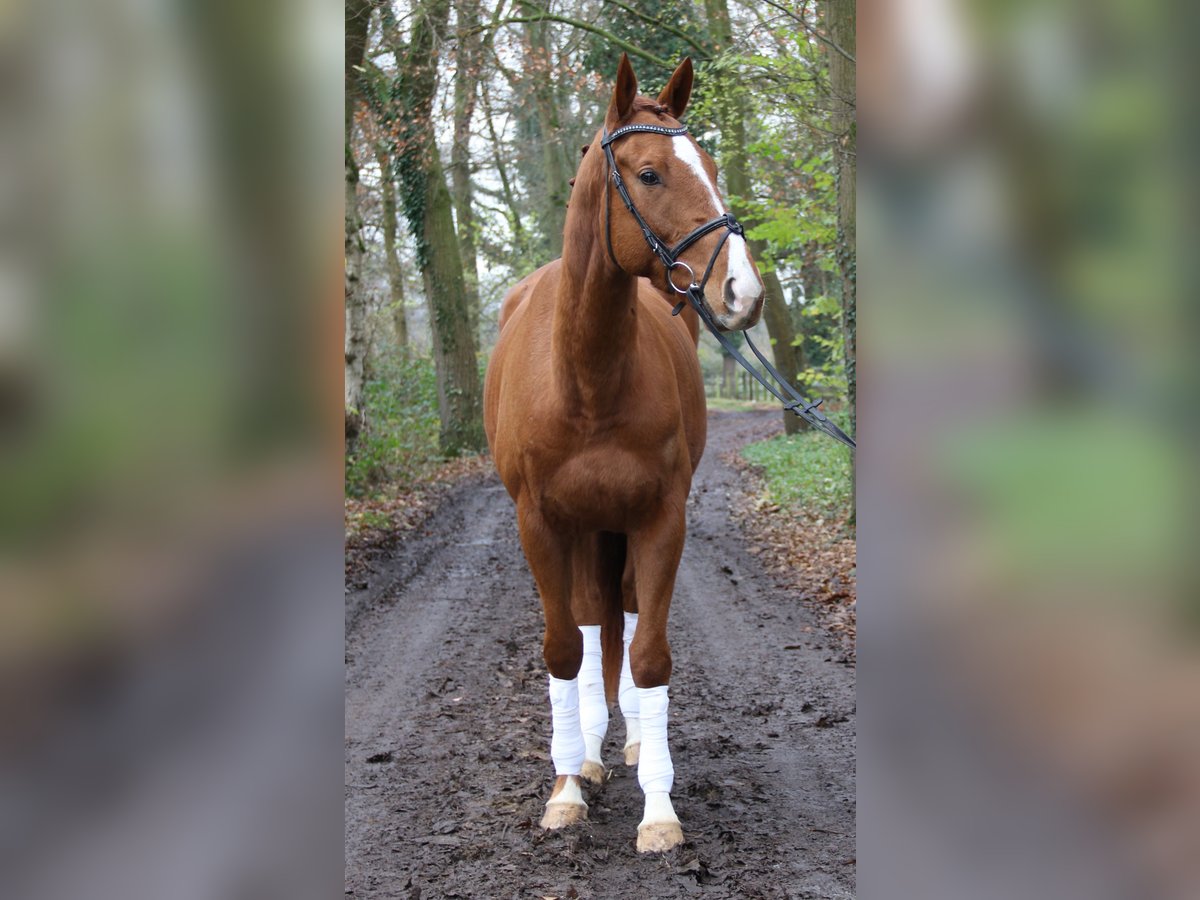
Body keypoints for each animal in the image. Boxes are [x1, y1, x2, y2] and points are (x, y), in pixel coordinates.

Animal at [482, 56, 763, 854]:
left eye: (713, 168)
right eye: (648, 173)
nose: (744, 291)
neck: (585, 379)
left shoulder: (660, 519)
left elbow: (648, 655)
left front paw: (659, 808)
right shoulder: (541, 525)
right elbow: (563, 650)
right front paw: (566, 789)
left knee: (626, 620)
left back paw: (632, 742)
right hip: (581, 530)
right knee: (584, 628)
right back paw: (588, 751)